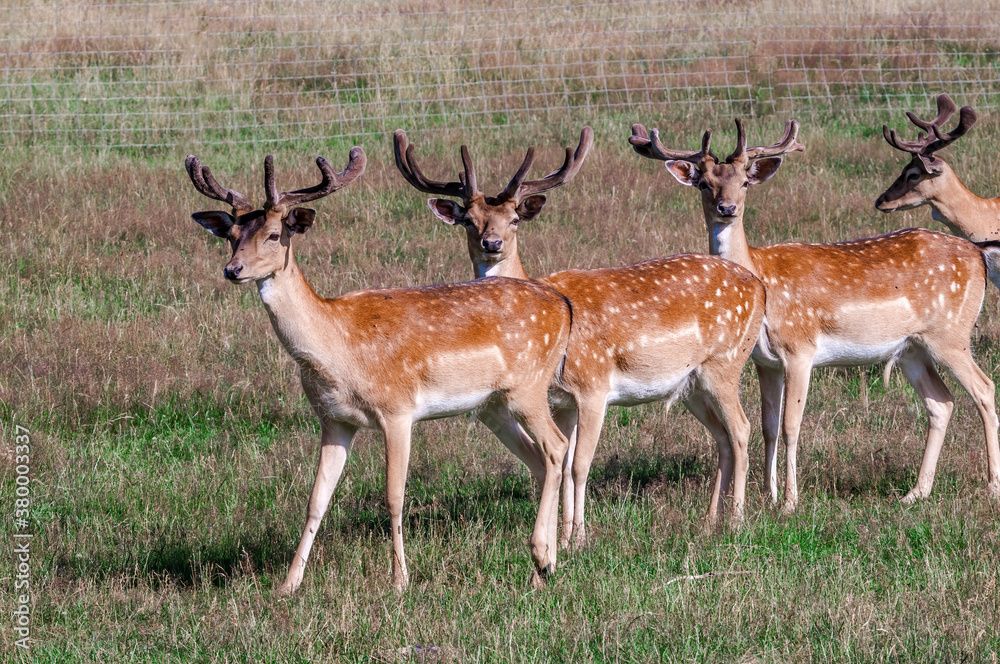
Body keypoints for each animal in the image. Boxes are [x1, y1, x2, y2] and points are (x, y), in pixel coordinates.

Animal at [185, 148, 575, 593]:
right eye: (231, 235)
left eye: (272, 234)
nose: (232, 270)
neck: (338, 351)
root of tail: (564, 305)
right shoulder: (334, 420)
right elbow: (316, 500)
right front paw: (288, 585)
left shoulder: (397, 409)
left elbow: (394, 495)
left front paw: (400, 579)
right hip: (493, 405)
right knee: (538, 459)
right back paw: (547, 564)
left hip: (529, 386)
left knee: (557, 446)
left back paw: (542, 556)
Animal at [394, 126, 767, 549]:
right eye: (469, 221)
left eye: (514, 219)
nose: (492, 244)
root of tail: (759, 286)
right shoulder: (562, 400)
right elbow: (565, 460)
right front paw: (566, 536)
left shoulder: (593, 385)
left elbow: (579, 465)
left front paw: (579, 538)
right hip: (692, 383)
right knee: (721, 436)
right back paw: (709, 521)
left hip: (726, 363)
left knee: (741, 429)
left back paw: (736, 520)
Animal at [629, 116, 1000, 512]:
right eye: (704, 183)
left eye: (744, 181)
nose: (727, 208)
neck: (761, 278)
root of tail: (978, 254)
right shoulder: (765, 361)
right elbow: (768, 426)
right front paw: (770, 496)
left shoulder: (800, 348)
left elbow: (791, 425)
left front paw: (790, 502)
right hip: (912, 349)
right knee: (941, 402)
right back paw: (916, 492)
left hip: (951, 334)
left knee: (984, 388)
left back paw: (990, 487)